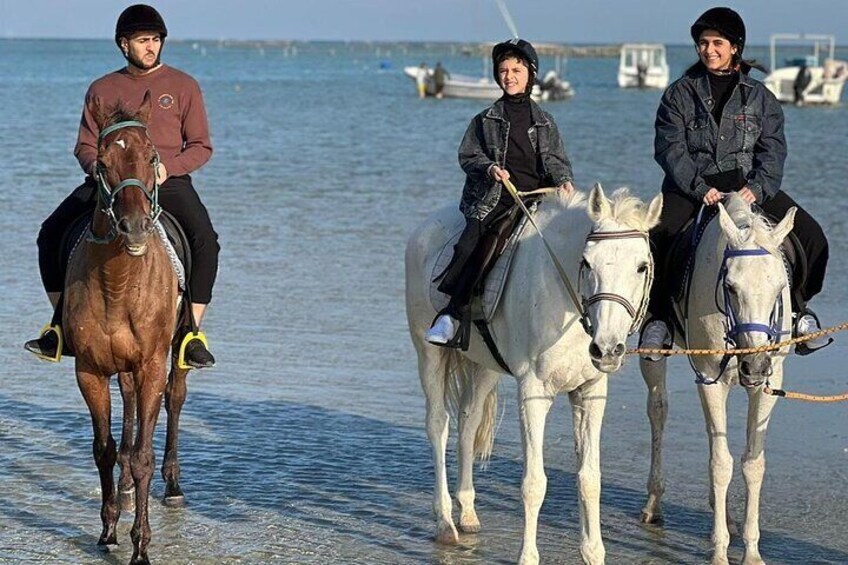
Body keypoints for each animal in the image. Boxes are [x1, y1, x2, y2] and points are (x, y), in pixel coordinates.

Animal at [66, 90, 192, 560]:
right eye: (102, 162)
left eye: (152, 156)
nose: (135, 227)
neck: (118, 283)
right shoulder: (89, 371)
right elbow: (104, 451)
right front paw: (108, 530)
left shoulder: (152, 364)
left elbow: (143, 457)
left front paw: (141, 545)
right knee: (130, 407)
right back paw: (121, 490)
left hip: (175, 351)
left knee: (175, 397)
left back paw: (173, 485)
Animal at [404, 186, 664, 564]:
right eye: (587, 263)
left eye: (642, 266)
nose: (607, 349)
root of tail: (425, 228)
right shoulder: (534, 392)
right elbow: (534, 483)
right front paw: (527, 556)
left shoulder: (590, 392)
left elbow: (590, 479)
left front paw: (593, 552)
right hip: (429, 354)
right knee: (439, 425)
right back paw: (445, 524)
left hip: (485, 366)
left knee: (468, 422)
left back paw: (467, 514)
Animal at [644, 194, 796, 564]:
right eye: (731, 287)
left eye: (779, 287)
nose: (754, 366)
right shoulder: (710, 378)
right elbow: (721, 464)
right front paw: (719, 551)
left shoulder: (769, 384)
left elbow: (753, 463)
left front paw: (751, 552)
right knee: (658, 410)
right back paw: (654, 503)